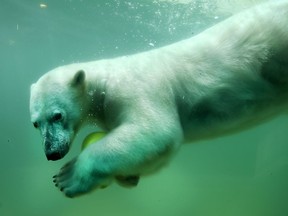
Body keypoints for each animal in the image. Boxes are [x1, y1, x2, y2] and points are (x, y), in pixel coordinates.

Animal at [30, 0, 288, 197]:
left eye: (57, 115)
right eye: (35, 123)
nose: (51, 153)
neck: (104, 80)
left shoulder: (134, 88)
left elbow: (155, 132)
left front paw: (68, 176)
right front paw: (129, 177)